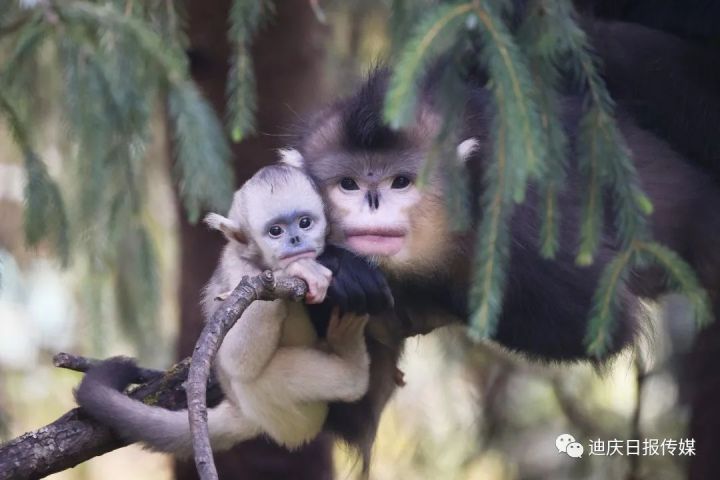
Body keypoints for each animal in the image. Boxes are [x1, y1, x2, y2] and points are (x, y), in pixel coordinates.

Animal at [76, 152, 372, 456]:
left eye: (304, 223)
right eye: (275, 231)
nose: (295, 239)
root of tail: (242, 412)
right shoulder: (240, 270)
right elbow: (237, 359)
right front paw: (296, 270)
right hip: (276, 410)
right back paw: (352, 365)